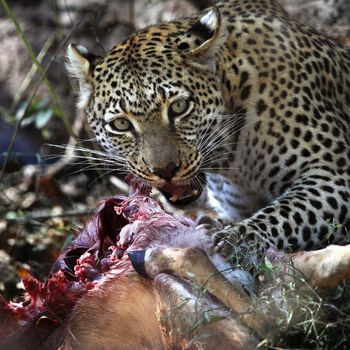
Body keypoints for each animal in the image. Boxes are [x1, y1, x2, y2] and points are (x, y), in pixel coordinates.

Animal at [66, 0, 350, 260]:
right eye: (121, 124)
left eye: (179, 107)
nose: (165, 171)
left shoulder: (334, 173)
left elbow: (286, 212)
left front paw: (239, 239)